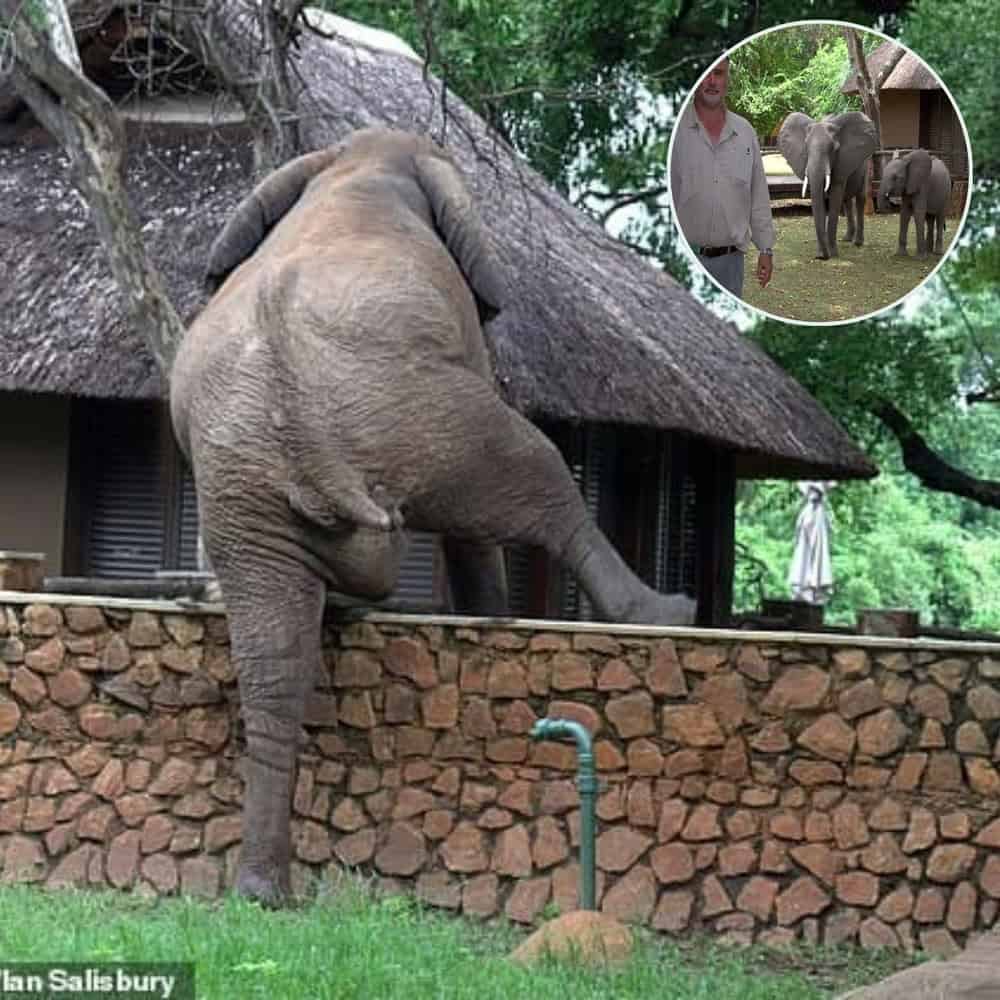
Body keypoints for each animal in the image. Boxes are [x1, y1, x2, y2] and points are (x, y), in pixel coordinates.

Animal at [169, 126, 696, 905]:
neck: (358, 163)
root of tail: (292, 385)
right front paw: (494, 617)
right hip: (428, 412)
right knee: (538, 474)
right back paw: (665, 613)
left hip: (245, 484)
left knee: (273, 659)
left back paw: (263, 892)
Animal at [777, 111, 878, 260]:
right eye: (806, 148)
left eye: (834, 149)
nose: (821, 256)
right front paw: (822, 253)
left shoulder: (842, 160)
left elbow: (835, 196)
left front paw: (833, 254)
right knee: (847, 200)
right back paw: (847, 239)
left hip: (866, 162)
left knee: (860, 197)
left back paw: (858, 243)